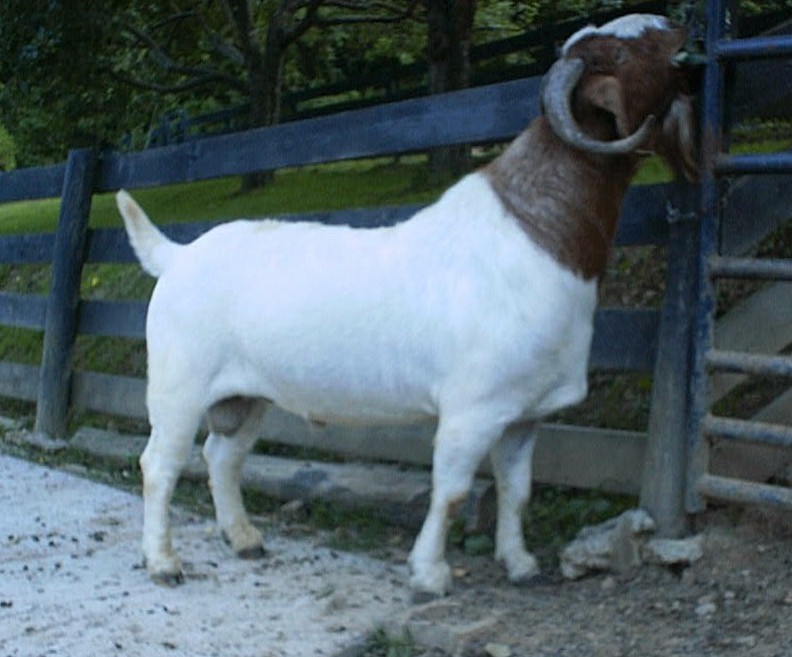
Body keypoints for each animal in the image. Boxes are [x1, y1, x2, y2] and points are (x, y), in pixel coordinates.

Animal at [116, 13, 697, 597]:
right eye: (621, 54)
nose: (681, 32)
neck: (536, 235)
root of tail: (177, 255)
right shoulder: (472, 409)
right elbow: (453, 491)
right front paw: (430, 573)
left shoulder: (524, 413)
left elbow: (517, 491)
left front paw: (520, 564)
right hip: (179, 384)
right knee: (160, 464)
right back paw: (163, 562)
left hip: (245, 394)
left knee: (222, 456)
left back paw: (244, 539)